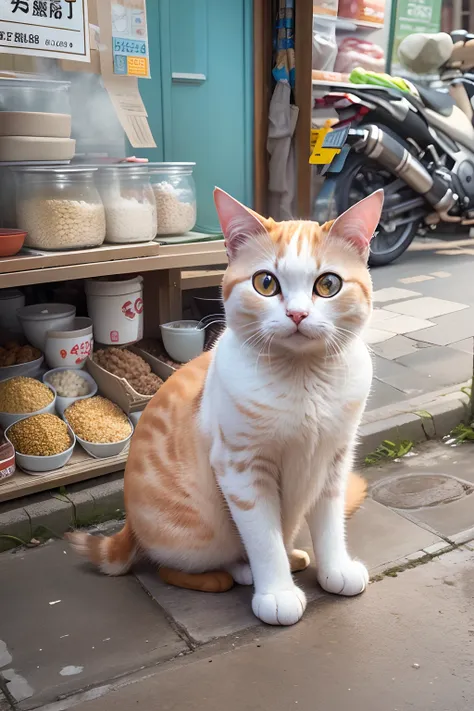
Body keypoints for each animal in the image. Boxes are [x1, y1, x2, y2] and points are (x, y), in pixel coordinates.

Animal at [68, 189, 384, 628]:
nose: (298, 314)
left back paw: (293, 556)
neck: (304, 379)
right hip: (200, 531)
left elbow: (329, 523)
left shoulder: (334, 461)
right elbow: (263, 538)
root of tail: (127, 530)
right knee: (176, 566)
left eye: (328, 284)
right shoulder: (242, 469)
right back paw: (237, 573)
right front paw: (276, 592)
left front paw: (334, 568)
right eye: (266, 283)